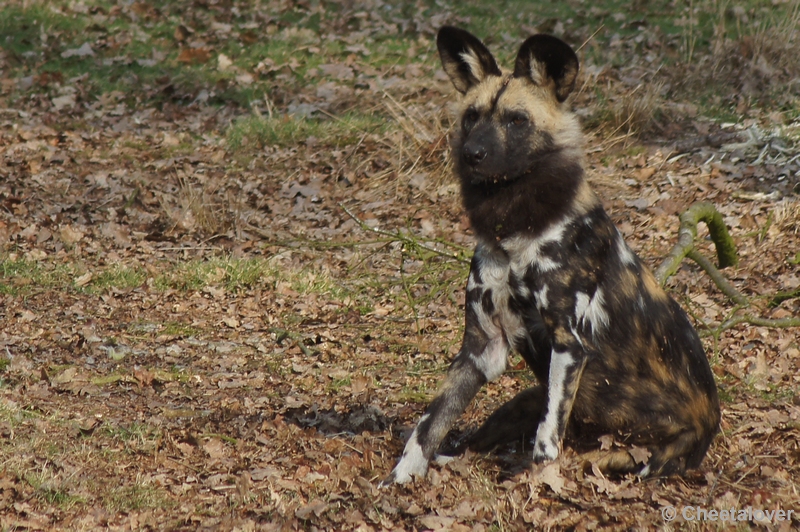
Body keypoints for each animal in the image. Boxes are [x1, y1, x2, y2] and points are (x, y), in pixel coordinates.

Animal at [382, 28, 720, 486]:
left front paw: (535, 485)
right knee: (470, 444)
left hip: (647, 458)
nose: (470, 154)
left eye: (517, 120)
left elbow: (546, 443)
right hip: (521, 403)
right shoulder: (482, 349)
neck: (514, 226)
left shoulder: (568, 346)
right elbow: (429, 424)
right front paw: (400, 478)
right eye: (471, 116)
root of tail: (712, 422)